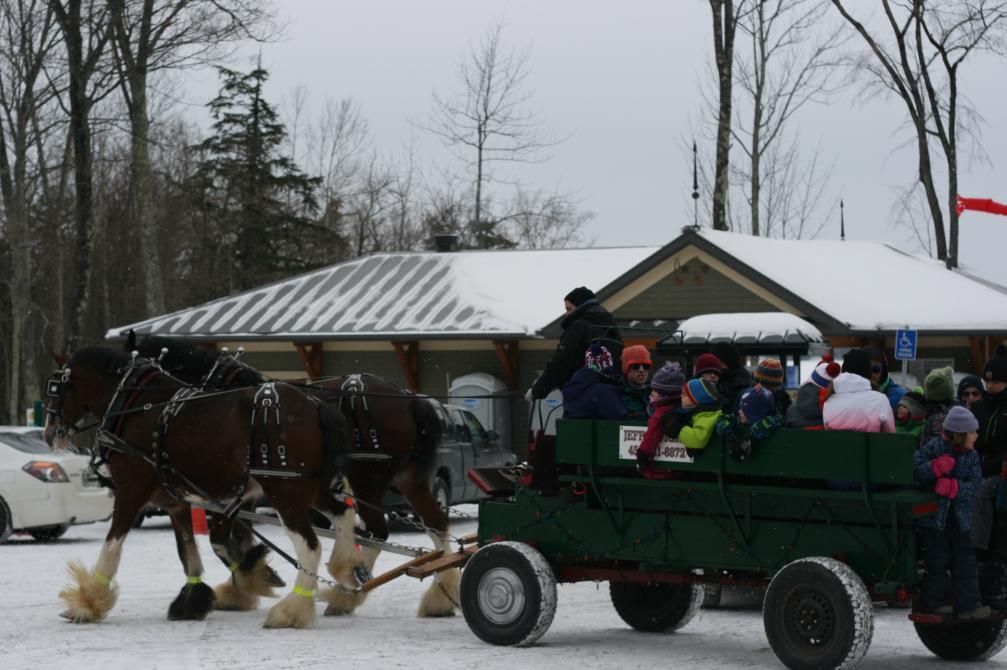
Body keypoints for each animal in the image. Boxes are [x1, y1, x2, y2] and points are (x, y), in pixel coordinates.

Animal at [47, 344, 354, 628]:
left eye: (55, 388)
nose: (49, 434)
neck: (134, 406)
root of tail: (315, 405)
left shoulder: (130, 491)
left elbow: (111, 548)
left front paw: (87, 601)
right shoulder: (177, 501)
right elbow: (188, 550)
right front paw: (194, 600)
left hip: (285, 493)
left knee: (310, 546)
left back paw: (292, 610)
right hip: (313, 489)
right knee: (344, 516)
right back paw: (348, 576)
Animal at [130, 334, 457, 616]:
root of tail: (409, 398)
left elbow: (222, 539)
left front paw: (247, 582)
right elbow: (233, 537)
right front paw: (253, 575)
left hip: (367, 479)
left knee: (378, 530)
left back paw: (346, 592)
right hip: (408, 479)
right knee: (435, 522)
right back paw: (440, 595)